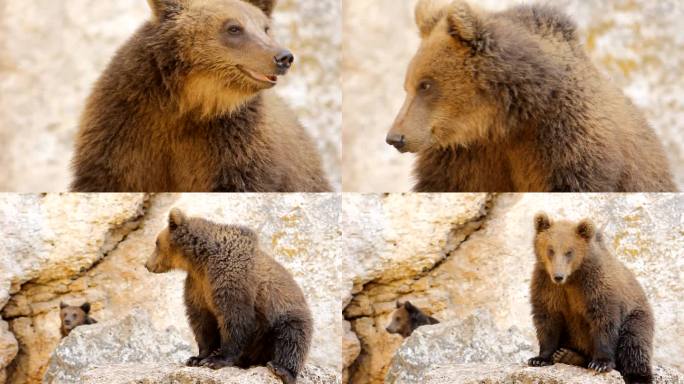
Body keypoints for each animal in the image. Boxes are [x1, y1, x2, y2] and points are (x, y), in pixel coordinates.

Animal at [148, 208, 314, 384]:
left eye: (156, 243)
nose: (147, 264)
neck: (201, 262)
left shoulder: (231, 280)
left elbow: (235, 318)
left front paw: (215, 360)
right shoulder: (197, 286)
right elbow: (202, 320)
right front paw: (197, 358)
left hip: (284, 315)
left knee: (292, 338)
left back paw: (281, 369)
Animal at [528, 213, 656, 384]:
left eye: (569, 251)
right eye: (551, 250)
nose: (558, 276)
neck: (572, 278)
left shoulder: (595, 286)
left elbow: (603, 320)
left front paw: (601, 363)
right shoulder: (547, 286)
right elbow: (547, 319)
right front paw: (539, 358)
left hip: (636, 316)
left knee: (634, 344)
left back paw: (638, 377)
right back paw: (566, 355)